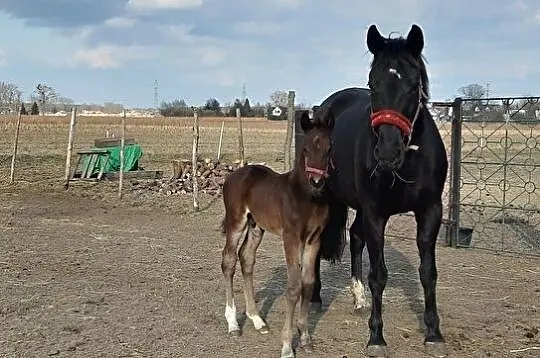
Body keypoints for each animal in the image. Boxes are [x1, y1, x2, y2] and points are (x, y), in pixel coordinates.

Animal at [219, 109, 334, 358]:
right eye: (305, 149)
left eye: (330, 148)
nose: (317, 181)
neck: (307, 198)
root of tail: (235, 174)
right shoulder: (291, 238)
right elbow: (293, 287)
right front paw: (287, 346)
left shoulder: (314, 239)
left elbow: (308, 284)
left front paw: (305, 337)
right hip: (236, 222)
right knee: (229, 260)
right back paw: (233, 323)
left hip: (255, 226)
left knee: (246, 258)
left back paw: (257, 319)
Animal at [312, 23, 448, 358]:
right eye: (372, 85)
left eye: (413, 85)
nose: (387, 152)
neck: (407, 163)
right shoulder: (376, 213)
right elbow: (379, 275)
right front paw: (376, 337)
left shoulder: (430, 211)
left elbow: (428, 272)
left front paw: (433, 333)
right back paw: (316, 297)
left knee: (355, 236)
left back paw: (358, 298)